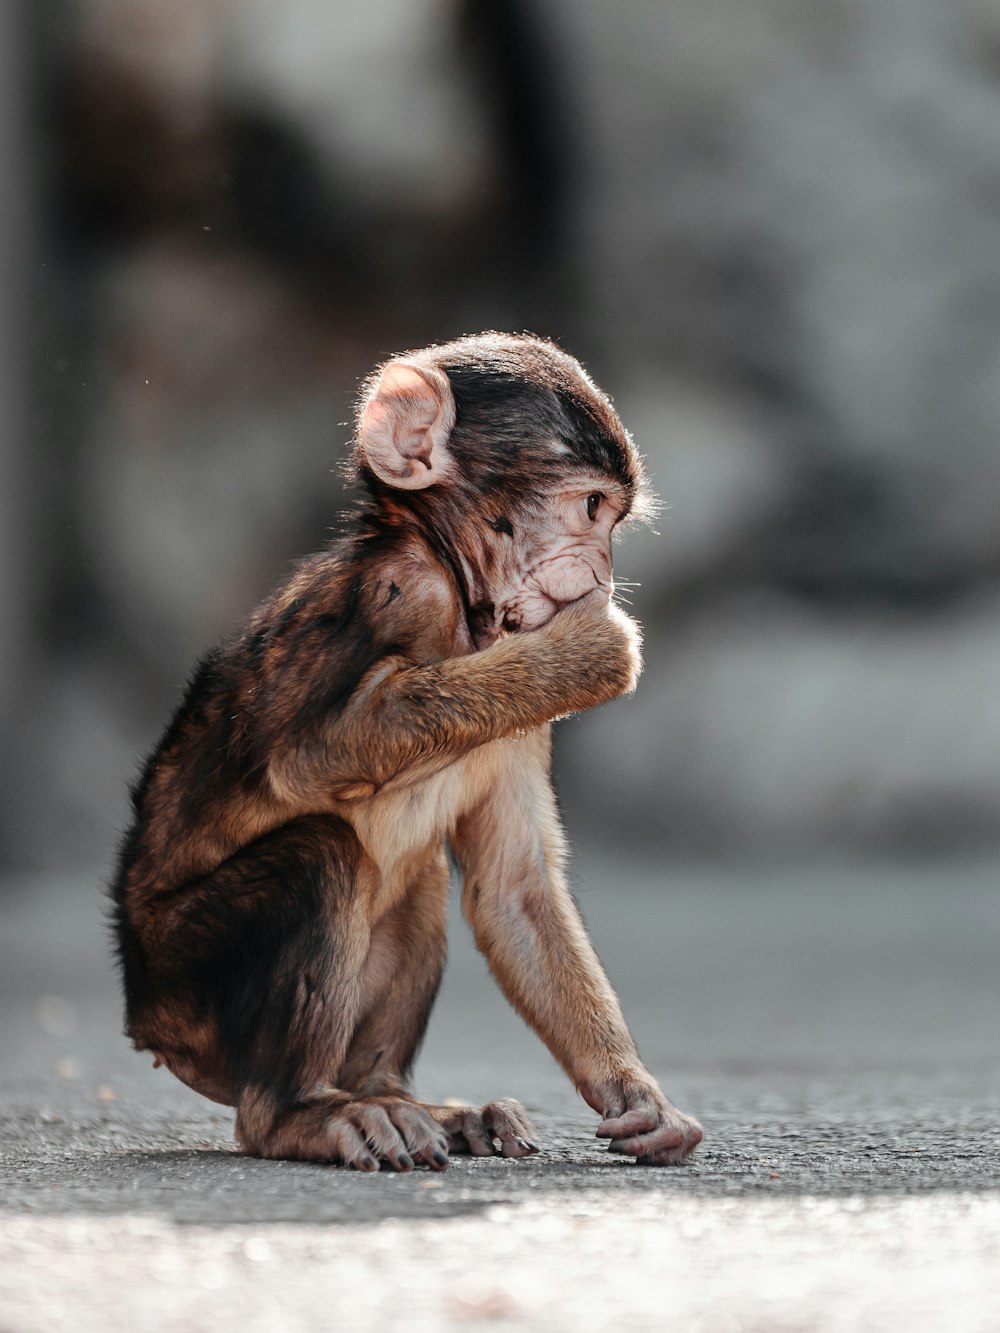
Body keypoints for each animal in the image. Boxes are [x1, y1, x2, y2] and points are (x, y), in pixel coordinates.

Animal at [111, 330, 704, 1167]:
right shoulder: (404, 588)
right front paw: (594, 651)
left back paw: (397, 1098)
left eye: (613, 519)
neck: (460, 595)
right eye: (590, 507)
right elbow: (309, 755)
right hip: (181, 977)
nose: (603, 573)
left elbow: (514, 885)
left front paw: (636, 1095)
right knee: (321, 853)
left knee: (415, 874)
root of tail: (148, 1022)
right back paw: (301, 1113)